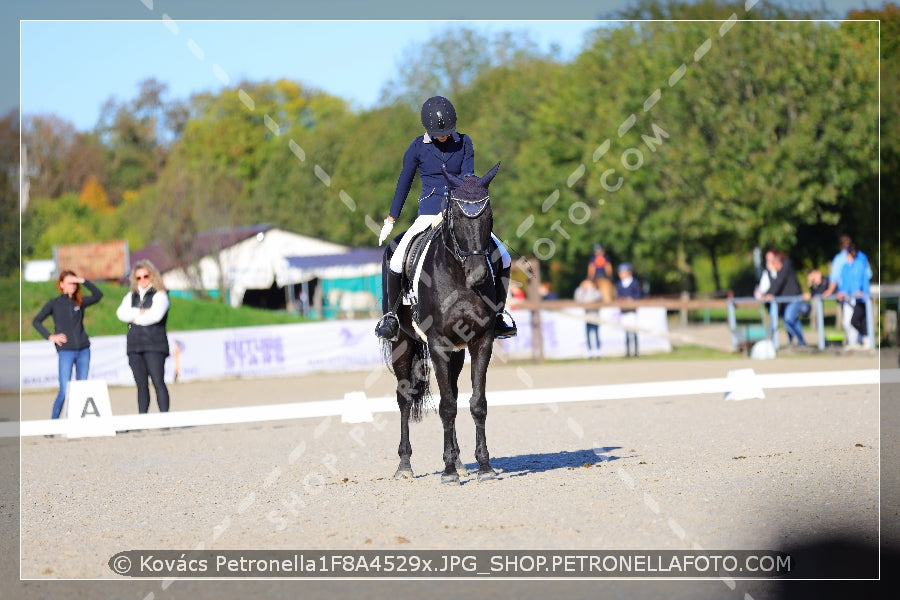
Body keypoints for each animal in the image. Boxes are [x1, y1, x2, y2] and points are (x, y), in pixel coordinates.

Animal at [382, 161, 506, 482]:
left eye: (488, 215)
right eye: (458, 216)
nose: (478, 275)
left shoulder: (481, 341)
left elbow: (477, 403)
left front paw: (484, 466)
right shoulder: (438, 343)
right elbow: (446, 407)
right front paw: (448, 471)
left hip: (457, 352)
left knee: (454, 390)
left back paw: (461, 461)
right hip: (402, 342)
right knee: (404, 398)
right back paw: (405, 465)